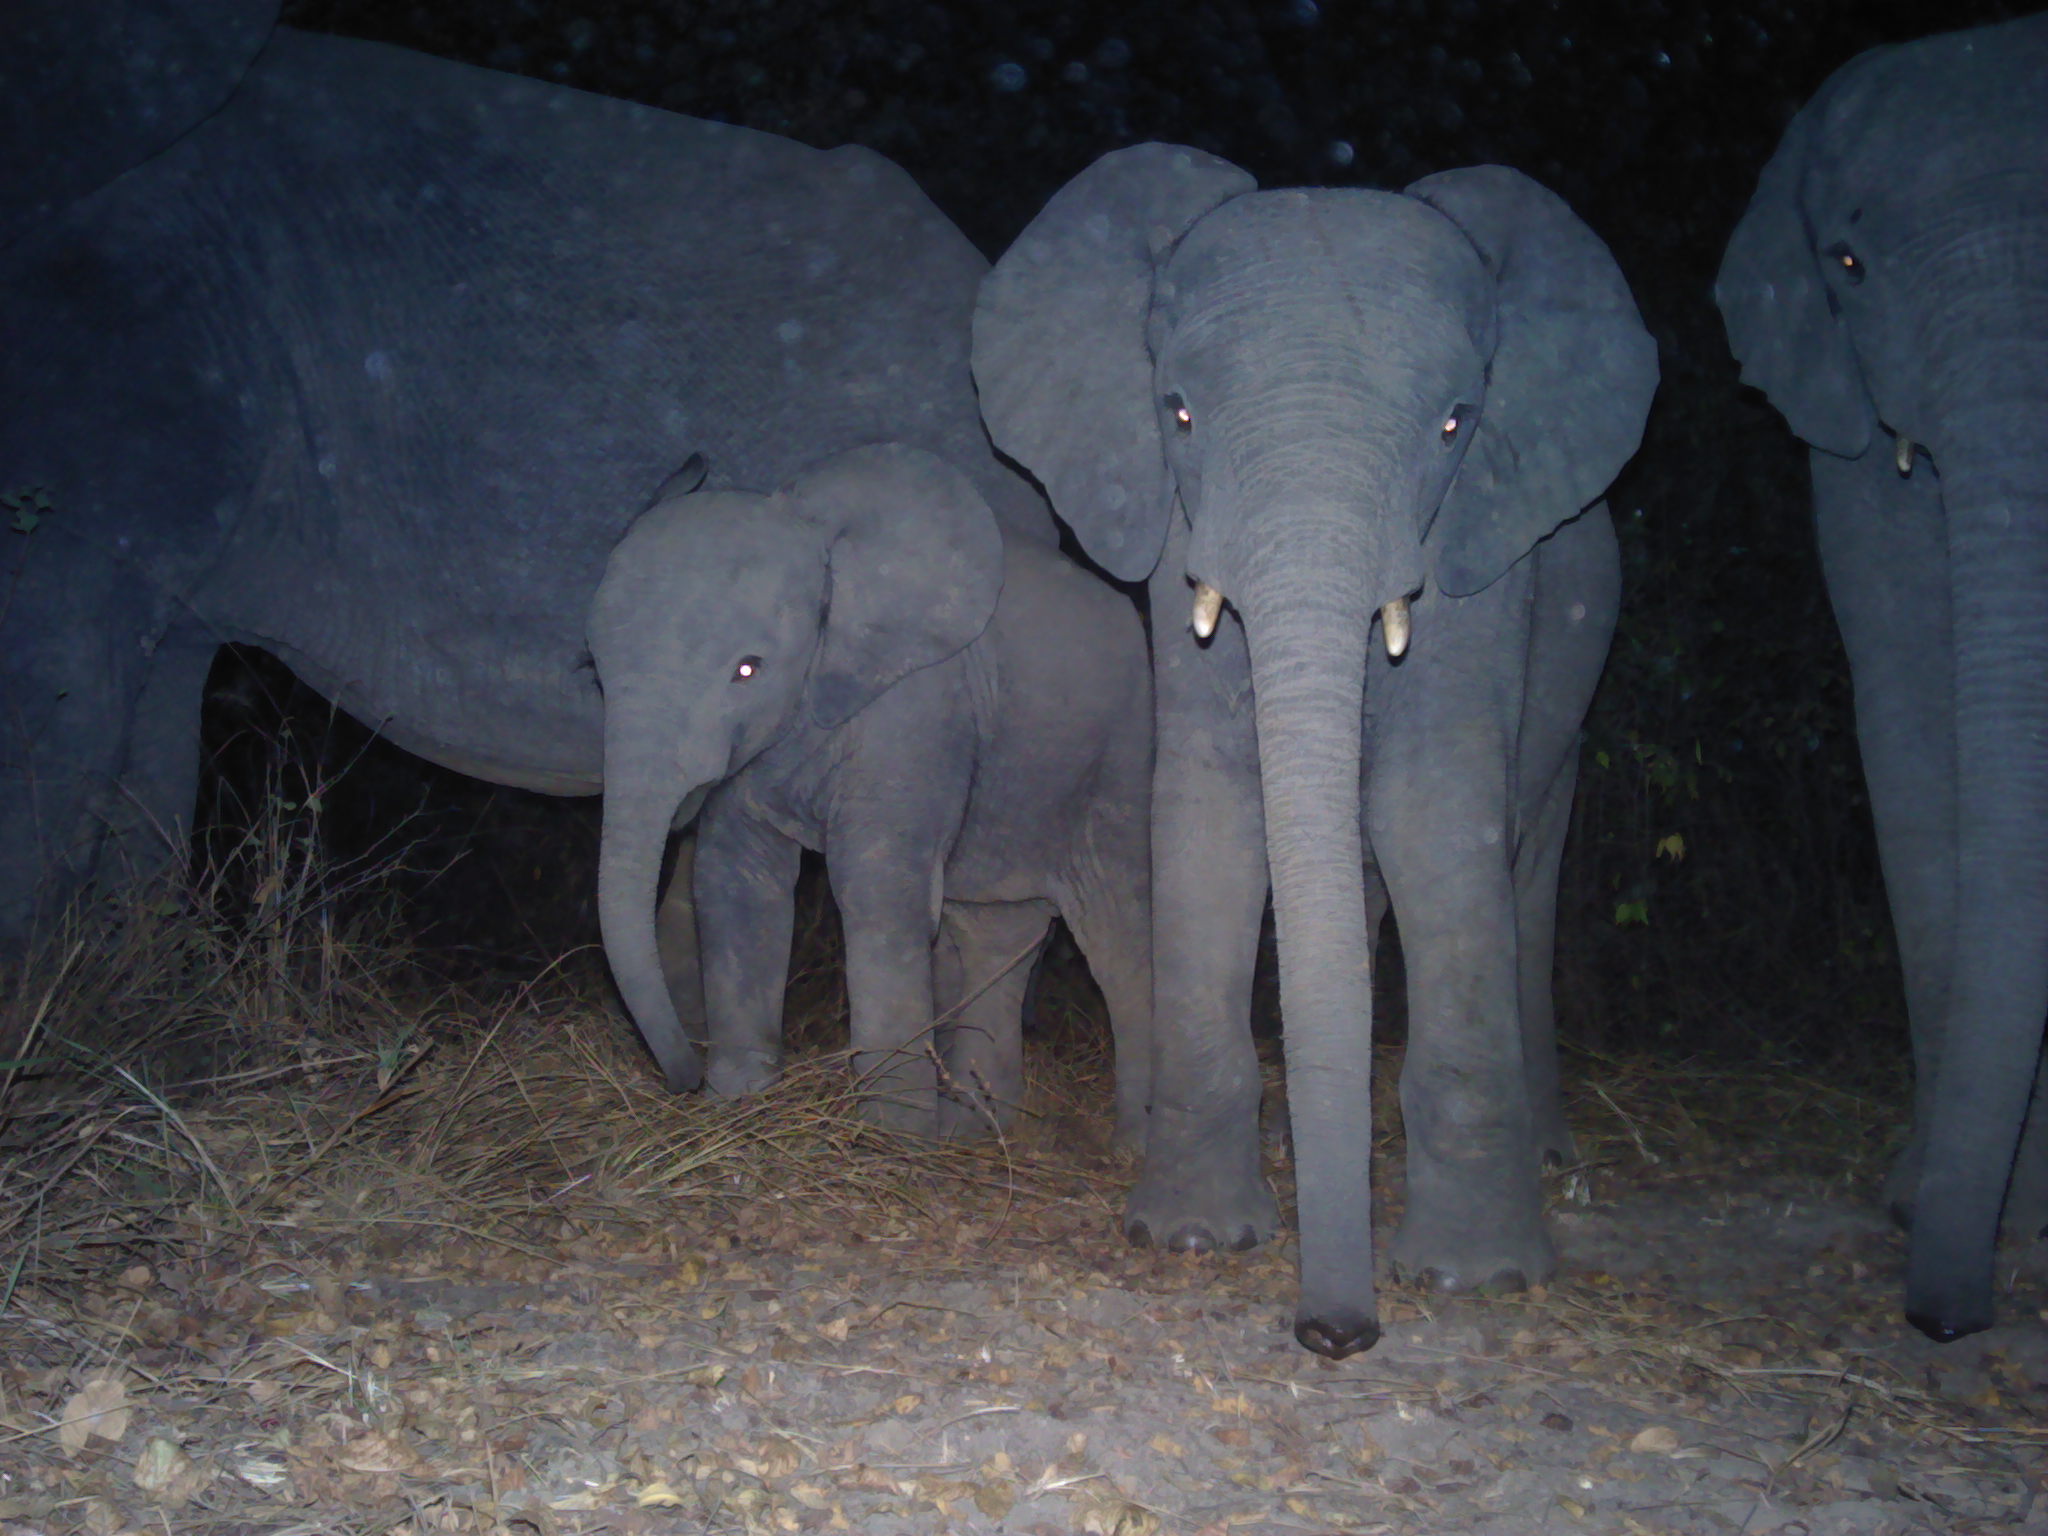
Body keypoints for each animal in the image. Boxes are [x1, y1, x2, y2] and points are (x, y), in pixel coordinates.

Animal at [589, 443, 1154, 1140]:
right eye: (595, 671)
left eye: (748, 670)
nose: (683, 1080)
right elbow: (735, 876)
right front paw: (738, 1103)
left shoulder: (921, 709)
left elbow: (877, 888)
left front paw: (889, 1139)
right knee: (995, 933)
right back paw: (978, 1127)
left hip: (1118, 761)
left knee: (1117, 937)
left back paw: (1128, 1141)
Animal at [975, 146, 1658, 1357]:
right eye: (1177, 410)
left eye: (1455, 424)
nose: (1334, 1335)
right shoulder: (1178, 539)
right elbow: (1206, 815)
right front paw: (1191, 1238)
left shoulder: (1479, 558)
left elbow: (1439, 816)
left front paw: (1478, 1275)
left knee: (1521, 864)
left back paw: (1546, 1159)